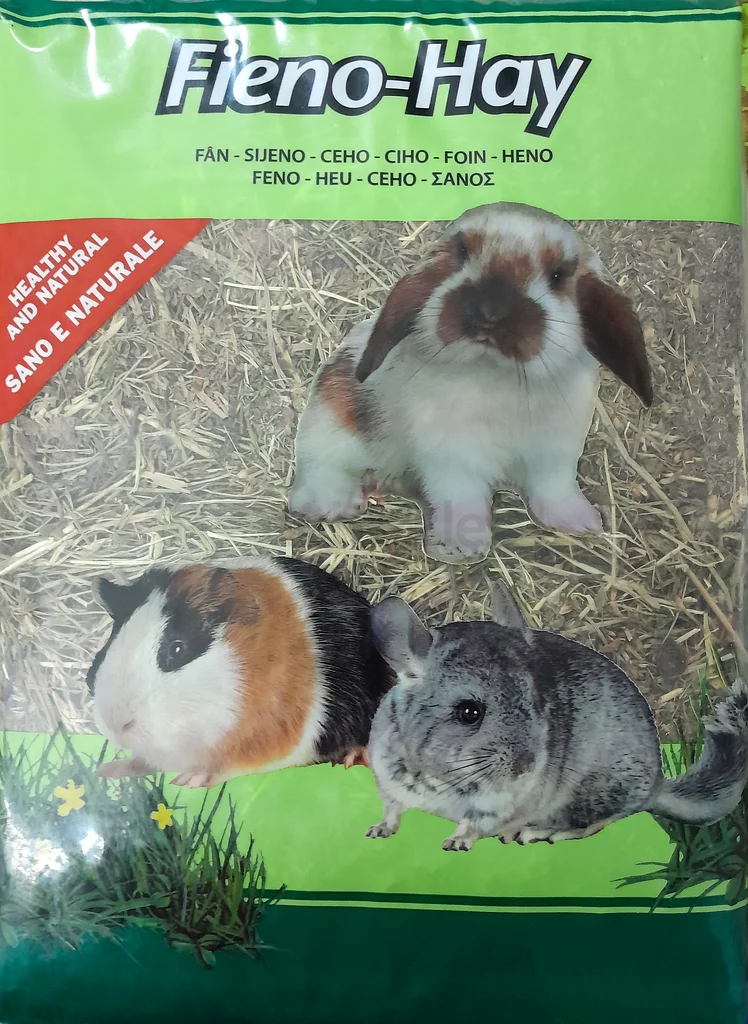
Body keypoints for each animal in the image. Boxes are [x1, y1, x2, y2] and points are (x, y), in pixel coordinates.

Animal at [86, 556, 395, 788]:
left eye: (177, 649)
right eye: (107, 645)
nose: (115, 725)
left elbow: (229, 766)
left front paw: (188, 781)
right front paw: (106, 770)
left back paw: (353, 758)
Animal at [288, 201, 653, 564]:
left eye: (558, 275)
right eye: (462, 253)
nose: (490, 311)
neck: (501, 378)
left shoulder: (555, 453)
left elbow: (554, 489)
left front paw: (580, 522)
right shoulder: (453, 460)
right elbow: (462, 499)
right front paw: (461, 548)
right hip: (331, 423)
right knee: (320, 469)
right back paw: (334, 503)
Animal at [364, 583, 748, 851]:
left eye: (534, 701)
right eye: (469, 713)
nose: (526, 767)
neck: (440, 779)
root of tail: (656, 785)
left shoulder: (496, 806)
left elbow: (474, 824)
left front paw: (456, 842)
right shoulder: (386, 780)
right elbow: (391, 809)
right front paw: (378, 830)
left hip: (591, 794)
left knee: (591, 824)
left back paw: (533, 833)